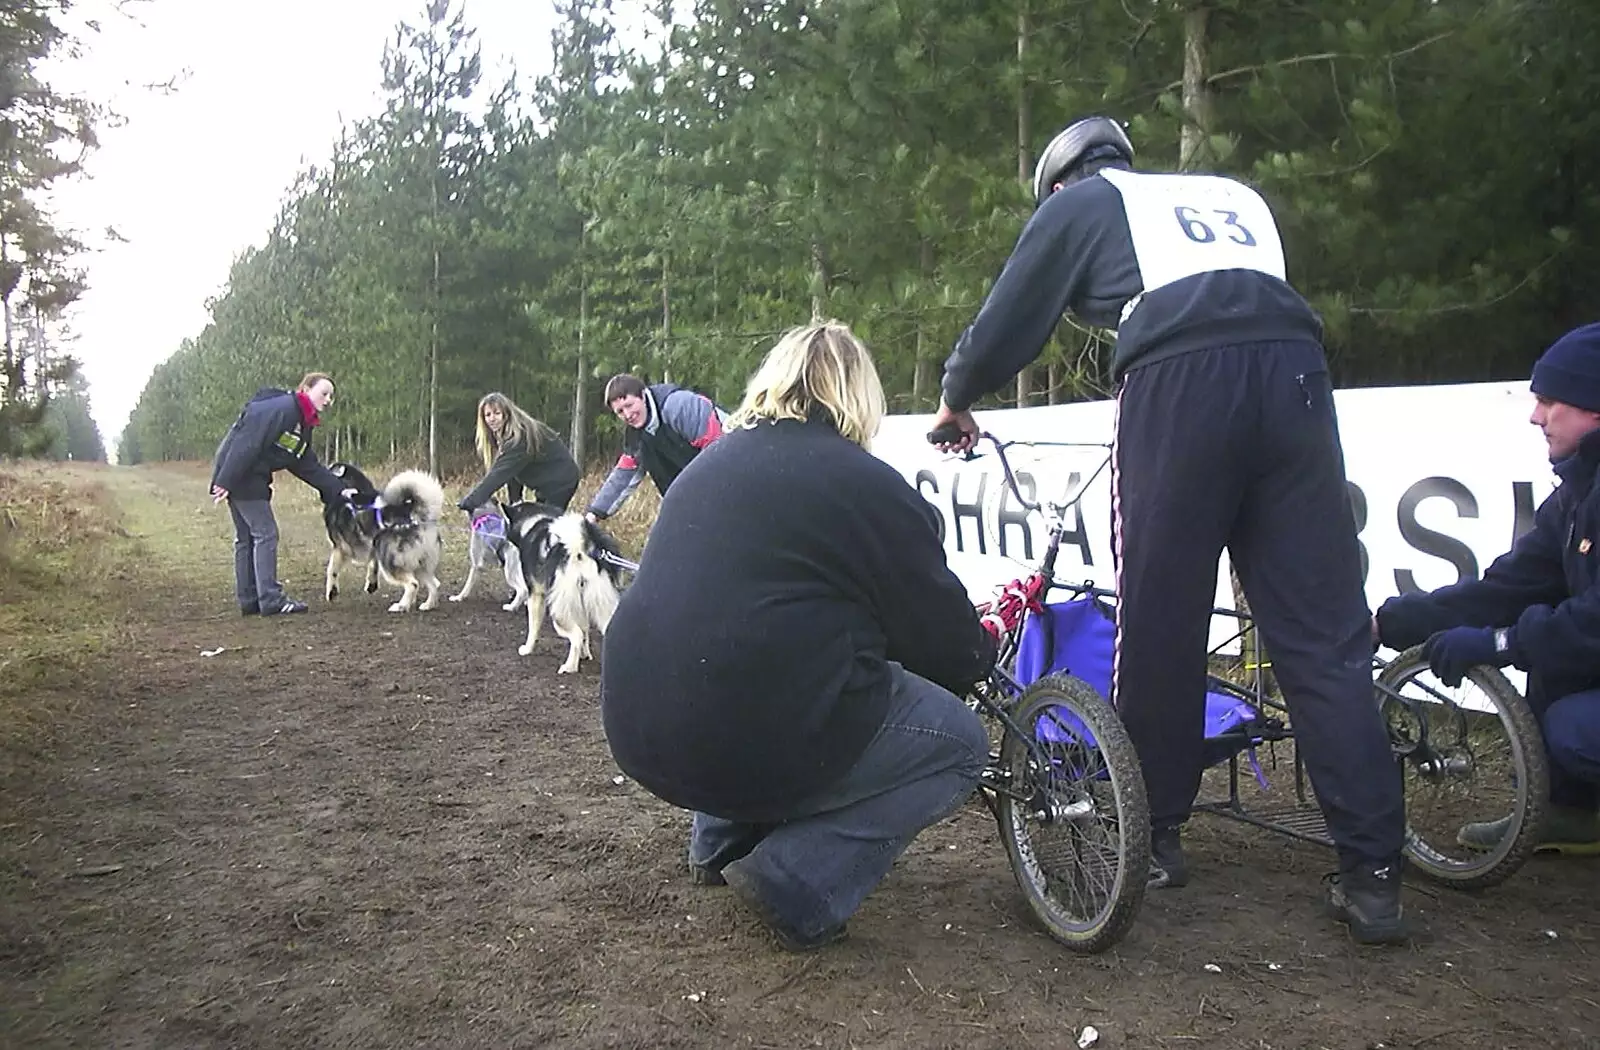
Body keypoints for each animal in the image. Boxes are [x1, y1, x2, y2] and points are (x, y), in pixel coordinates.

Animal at [505, 499, 624, 672]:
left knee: (576, 635)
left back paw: (569, 667)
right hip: (599, 603)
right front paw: (585, 655)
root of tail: (578, 552)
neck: (532, 520)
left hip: (559, 610)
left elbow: (533, 627)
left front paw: (527, 649)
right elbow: (585, 630)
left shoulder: (536, 595)